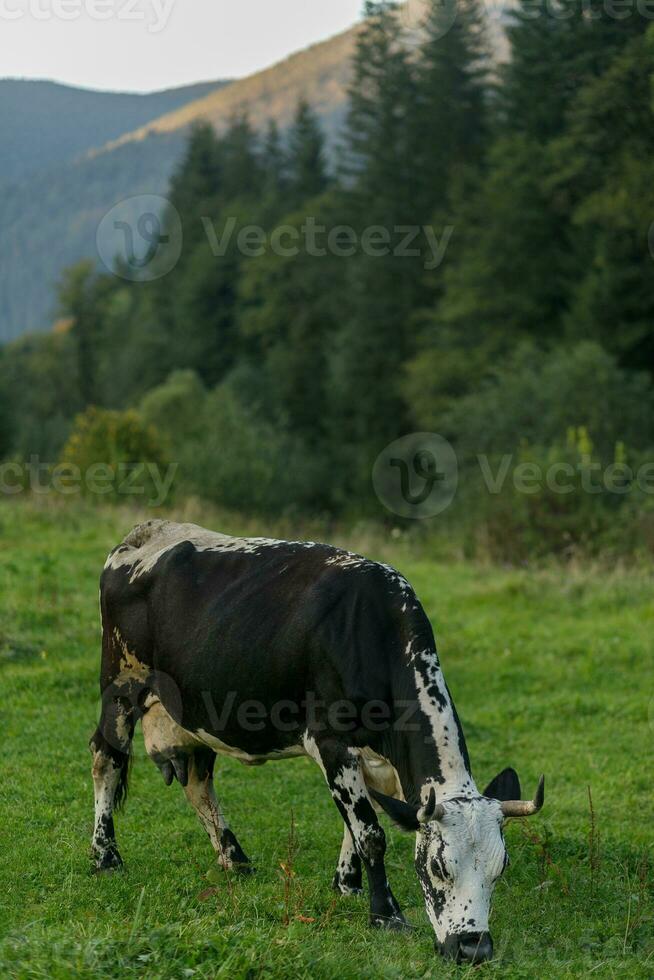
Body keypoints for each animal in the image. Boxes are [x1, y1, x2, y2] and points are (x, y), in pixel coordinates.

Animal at [89, 520, 544, 964]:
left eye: (499, 868)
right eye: (438, 867)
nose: (473, 949)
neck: (370, 631)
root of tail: (143, 534)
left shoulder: (373, 760)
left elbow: (356, 824)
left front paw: (347, 884)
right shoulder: (330, 741)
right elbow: (370, 833)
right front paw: (386, 914)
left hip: (196, 711)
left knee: (198, 782)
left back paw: (235, 859)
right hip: (121, 684)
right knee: (106, 758)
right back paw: (105, 856)